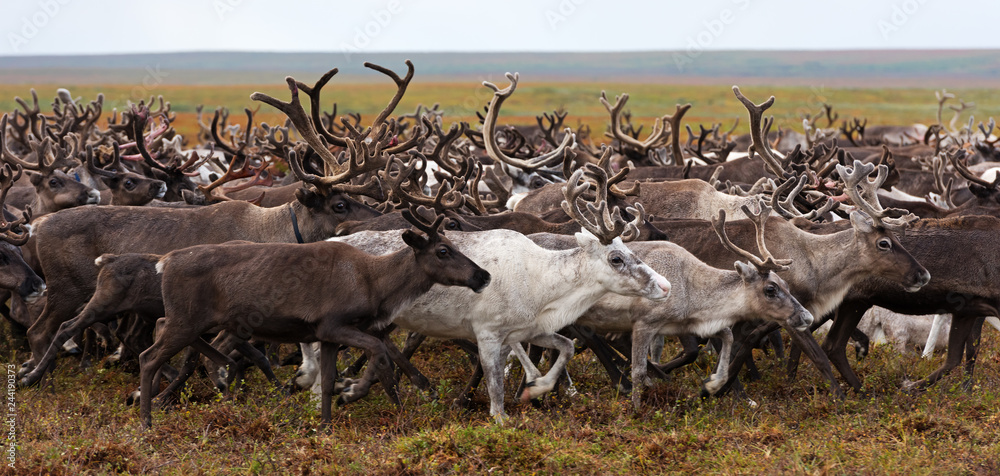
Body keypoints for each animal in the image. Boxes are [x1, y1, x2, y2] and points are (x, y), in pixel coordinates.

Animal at [140, 210, 491, 427]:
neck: (375, 284)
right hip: (186, 319)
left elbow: (330, 383)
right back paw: (146, 421)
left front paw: (326, 425)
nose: (483, 275)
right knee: (149, 356)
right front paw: (353, 394)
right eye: (443, 251)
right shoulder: (334, 324)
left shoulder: (327, 335)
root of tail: (163, 262)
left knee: (189, 345)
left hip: (200, 321)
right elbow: (378, 356)